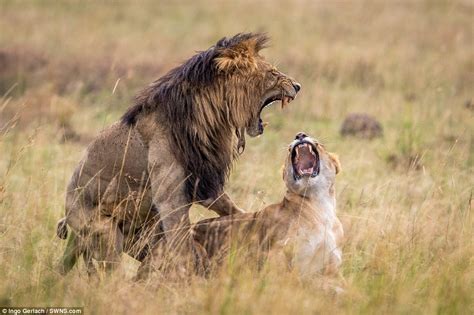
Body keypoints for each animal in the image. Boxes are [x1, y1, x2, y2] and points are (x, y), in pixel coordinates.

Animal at [55, 32, 300, 274]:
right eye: (273, 73)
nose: (298, 86)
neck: (209, 119)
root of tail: (68, 216)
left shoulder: (203, 181)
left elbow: (233, 209)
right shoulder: (170, 198)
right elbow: (182, 243)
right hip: (107, 234)